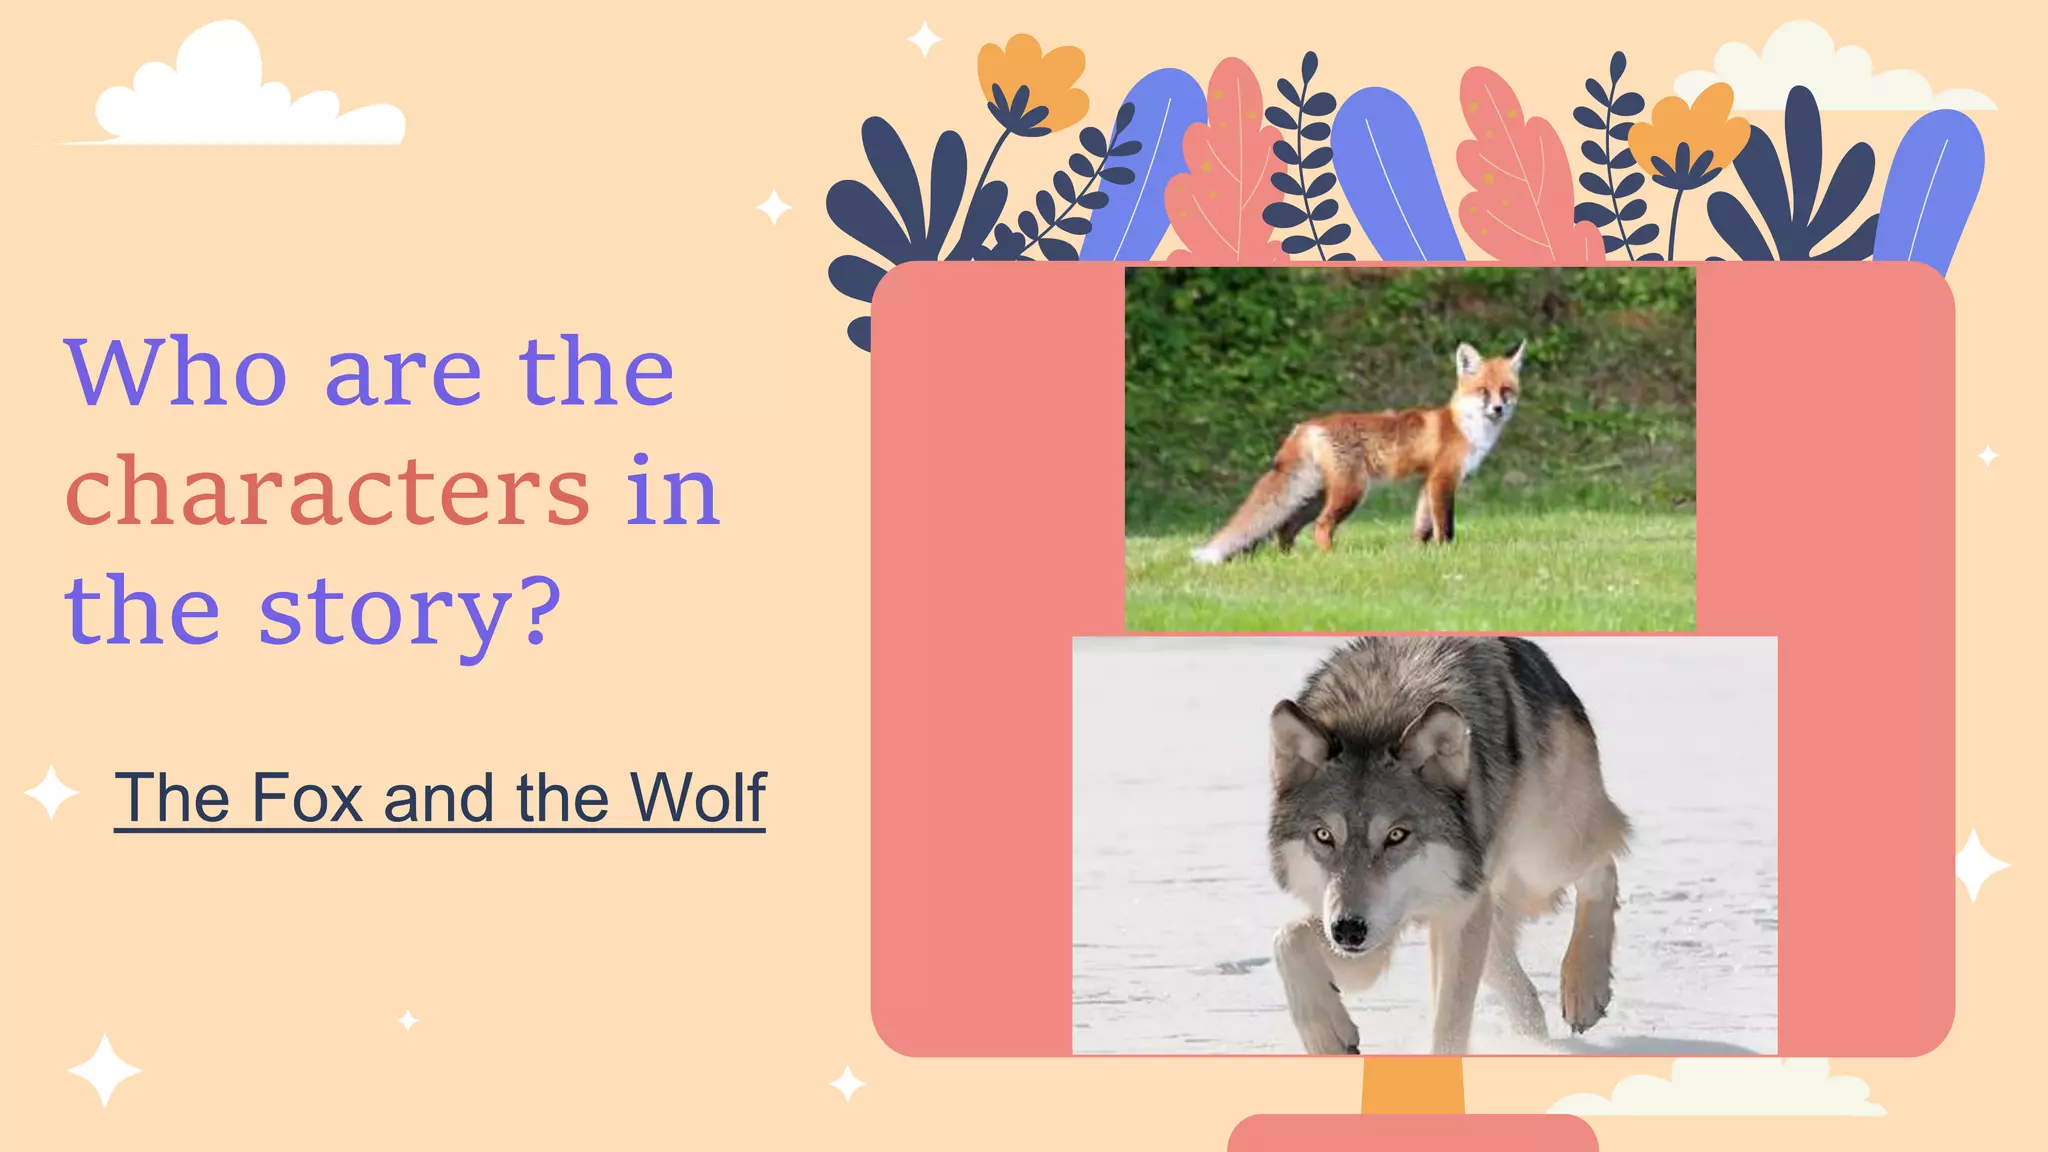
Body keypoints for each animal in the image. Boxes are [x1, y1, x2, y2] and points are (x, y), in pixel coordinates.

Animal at [1190, 341, 1525, 565]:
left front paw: (1419, 555)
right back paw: (1331, 559)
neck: (1463, 425)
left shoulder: (1426, 483)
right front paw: (1447, 555)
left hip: (1314, 497)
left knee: (1285, 528)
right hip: (1350, 492)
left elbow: (1422, 527)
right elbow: (1445, 527)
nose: (1498, 409)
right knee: (1321, 526)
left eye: (1506, 390)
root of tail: (1306, 425)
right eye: (1483, 391)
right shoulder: (1443, 479)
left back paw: (1291, 561)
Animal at [1267, 635, 1631, 1055]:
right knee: (1504, 963)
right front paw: (1327, 1036)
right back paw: (1533, 1036)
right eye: (1324, 836)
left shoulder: (1456, 911)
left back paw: (1583, 991)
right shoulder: (1370, 935)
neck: (1376, 713)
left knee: (1604, 865)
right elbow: (1288, 938)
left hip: (1545, 856)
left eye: (1396, 835)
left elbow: (1451, 1024)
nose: (1348, 930)